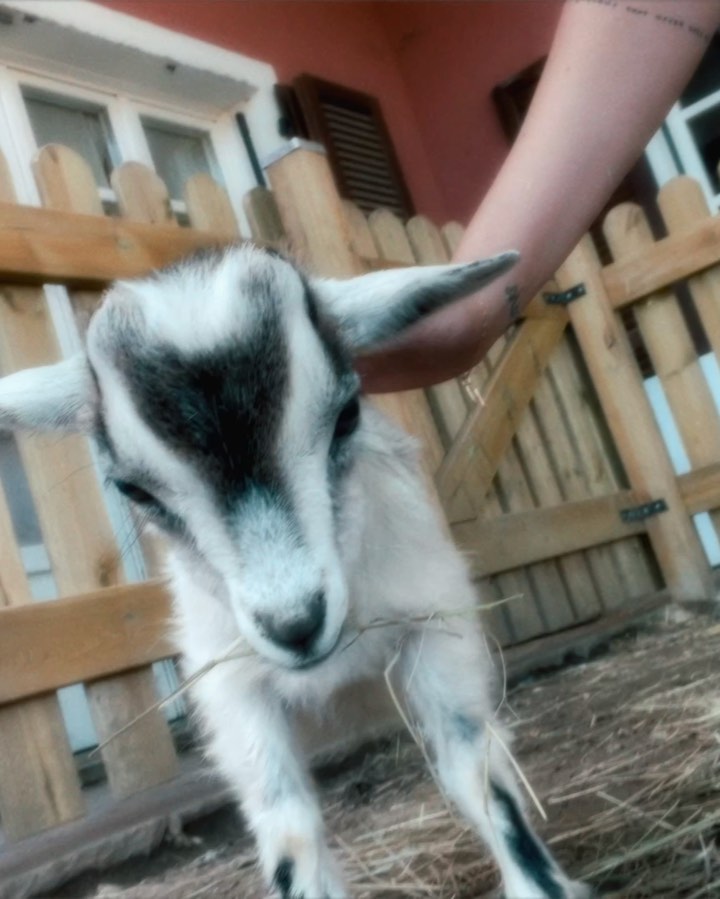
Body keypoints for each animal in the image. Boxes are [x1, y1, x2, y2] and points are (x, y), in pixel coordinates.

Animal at [0, 248, 588, 899]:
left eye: (348, 415)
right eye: (132, 489)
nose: (295, 625)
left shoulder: (436, 620)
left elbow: (476, 770)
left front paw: (541, 885)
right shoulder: (231, 684)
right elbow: (286, 824)